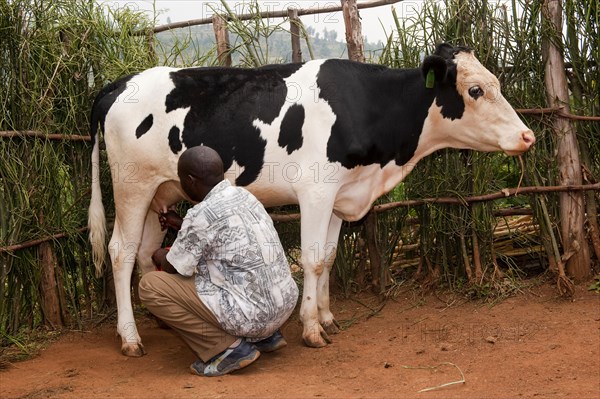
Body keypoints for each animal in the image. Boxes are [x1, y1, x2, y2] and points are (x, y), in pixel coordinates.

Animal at [88, 43, 536, 356]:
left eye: (497, 83)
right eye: (475, 89)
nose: (527, 136)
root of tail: (120, 83)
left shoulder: (342, 193)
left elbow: (331, 256)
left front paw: (327, 316)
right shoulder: (317, 191)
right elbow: (314, 258)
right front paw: (311, 327)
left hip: (157, 192)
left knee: (145, 251)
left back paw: (157, 322)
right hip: (131, 185)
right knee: (120, 251)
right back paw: (129, 337)